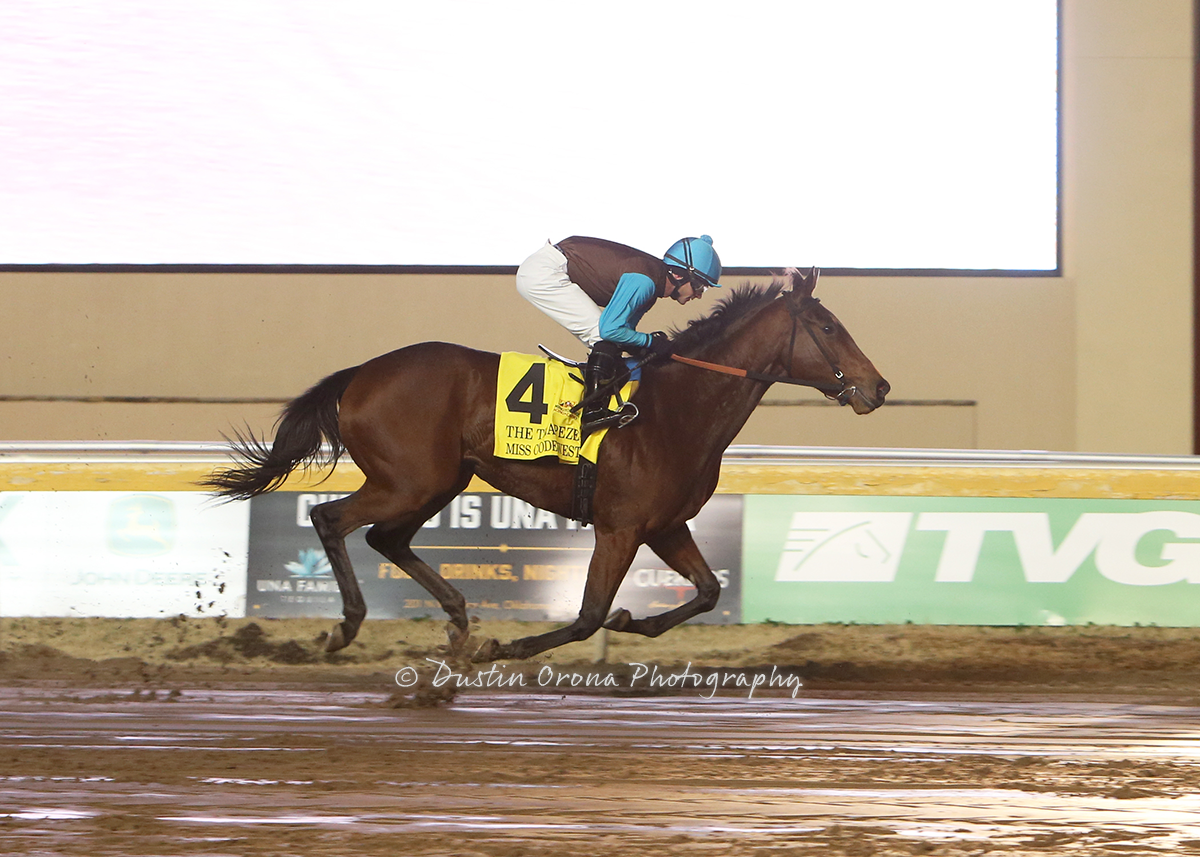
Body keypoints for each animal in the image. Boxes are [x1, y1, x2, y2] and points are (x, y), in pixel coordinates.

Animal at [203, 267, 889, 662]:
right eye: (828, 326)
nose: (878, 388)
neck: (678, 407)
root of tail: (361, 373)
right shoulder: (621, 527)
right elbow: (586, 617)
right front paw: (505, 645)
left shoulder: (666, 525)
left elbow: (709, 590)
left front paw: (635, 620)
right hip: (409, 480)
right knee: (331, 519)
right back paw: (348, 627)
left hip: (440, 480)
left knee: (385, 538)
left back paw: (458, 620)